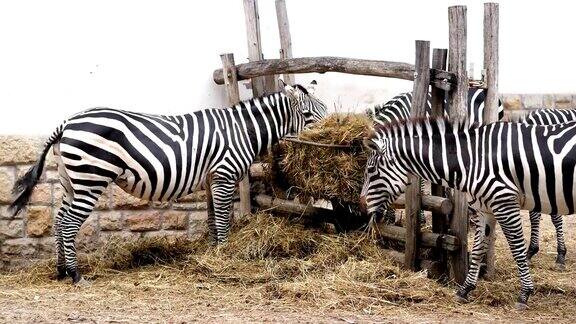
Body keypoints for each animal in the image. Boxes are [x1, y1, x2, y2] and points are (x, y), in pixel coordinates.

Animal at [9, 80, 326, 284]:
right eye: (308, 115)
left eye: (324, 109)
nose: (329, 136)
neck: (241, 130)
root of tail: (66, 123)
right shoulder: (224, 174)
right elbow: (224, 218)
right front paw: (224, 254)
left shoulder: (211, 177)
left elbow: (213, 218)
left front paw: (212, 252)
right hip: (90, 178)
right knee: (69, 224)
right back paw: (75, 275)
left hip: (70, 181)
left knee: (59, 220)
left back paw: (61, 271)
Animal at [360, 116, 576, 308]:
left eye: (371, 171)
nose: (361, 207)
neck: (471, 159)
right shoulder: (485, 209)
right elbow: (479, 248)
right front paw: (465, 290)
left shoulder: (504, 202)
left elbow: (516, 249)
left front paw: (525, 293)